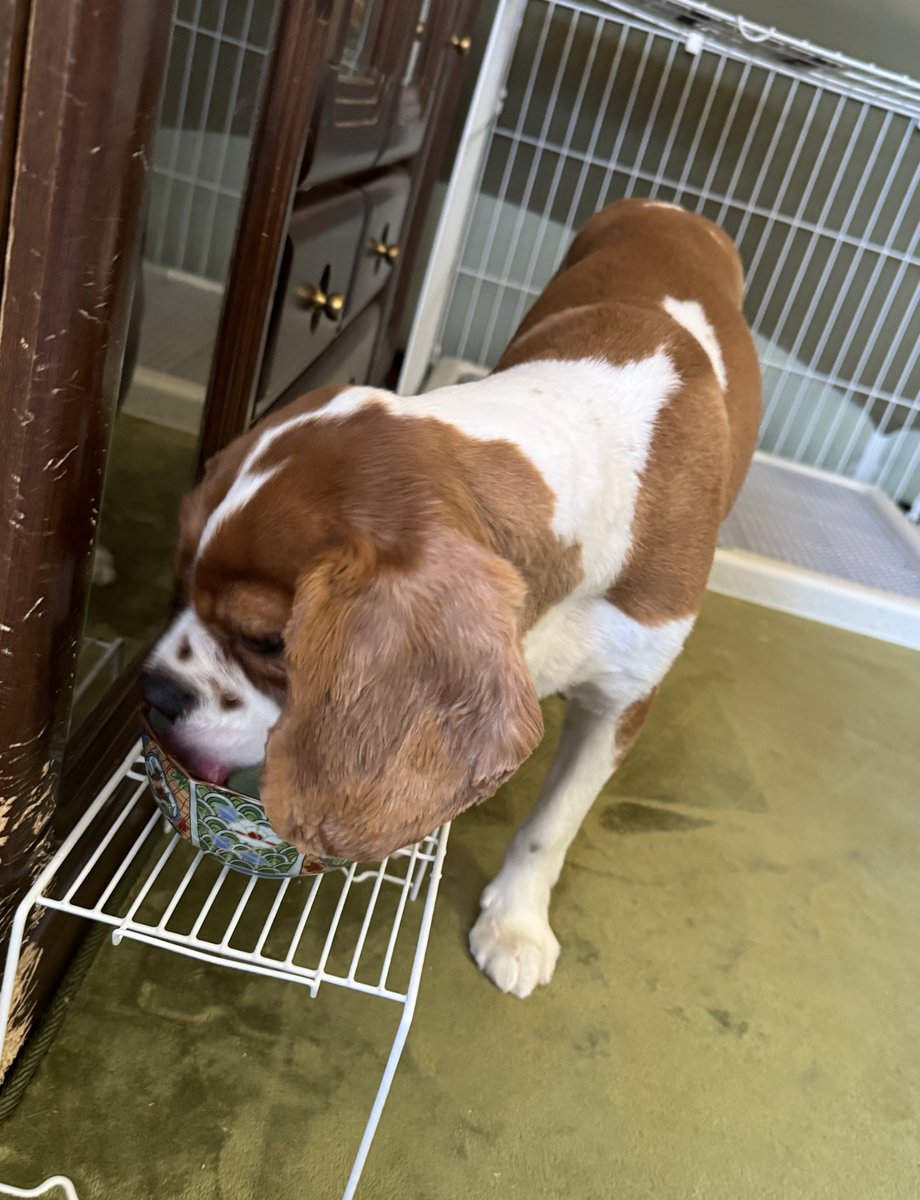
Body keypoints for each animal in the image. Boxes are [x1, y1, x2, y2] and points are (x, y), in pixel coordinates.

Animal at [145, 201, 762, 998]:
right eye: (178, 581)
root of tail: (674, 206)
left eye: (268, 641)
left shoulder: (624, 697)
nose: (154, 692)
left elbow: (552, 825)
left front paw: (516, 926)